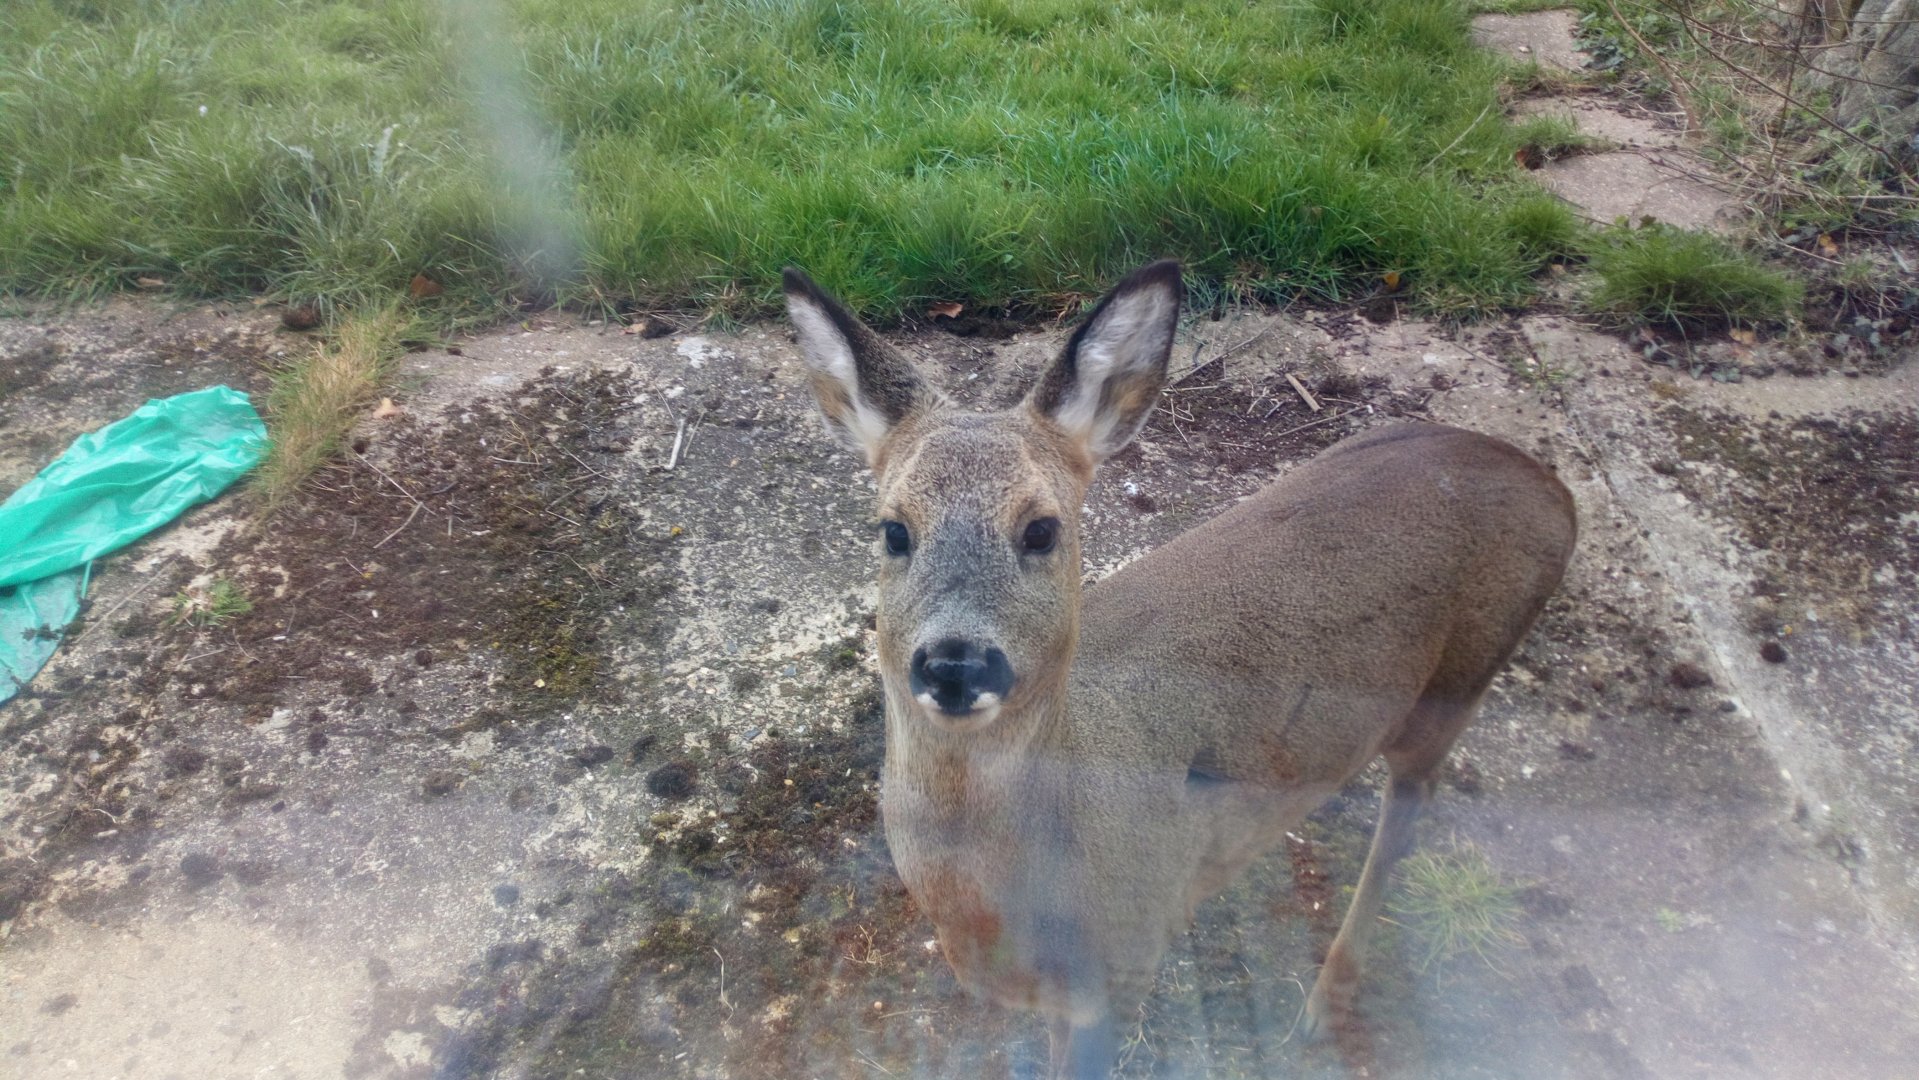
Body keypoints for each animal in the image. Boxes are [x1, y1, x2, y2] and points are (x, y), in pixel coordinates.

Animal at [781, 260, 1576, 1078]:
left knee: (1411, 802)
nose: (954, 662)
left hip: (1463, 672)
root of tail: (1555, 489)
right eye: (893, 530)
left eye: (1041, 529)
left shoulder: (1126, 960)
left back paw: (1324, 1003)